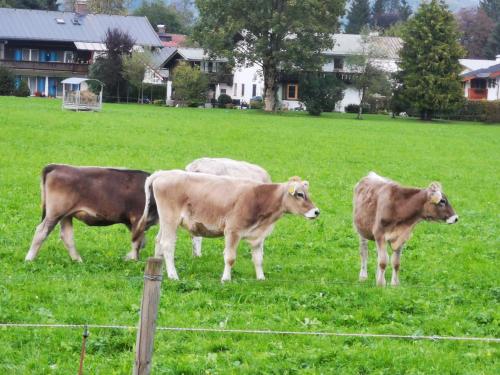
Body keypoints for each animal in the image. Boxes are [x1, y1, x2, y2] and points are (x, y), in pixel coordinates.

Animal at [25, 166, 157, 262]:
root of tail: (57, 166)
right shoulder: (138, 218)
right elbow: (137, 241)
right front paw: (134, 260)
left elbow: (141, 241)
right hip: (55, 212)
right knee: (41, 232)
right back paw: (29, 259)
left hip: (66, 215)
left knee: (67, 236)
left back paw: (78, 260)